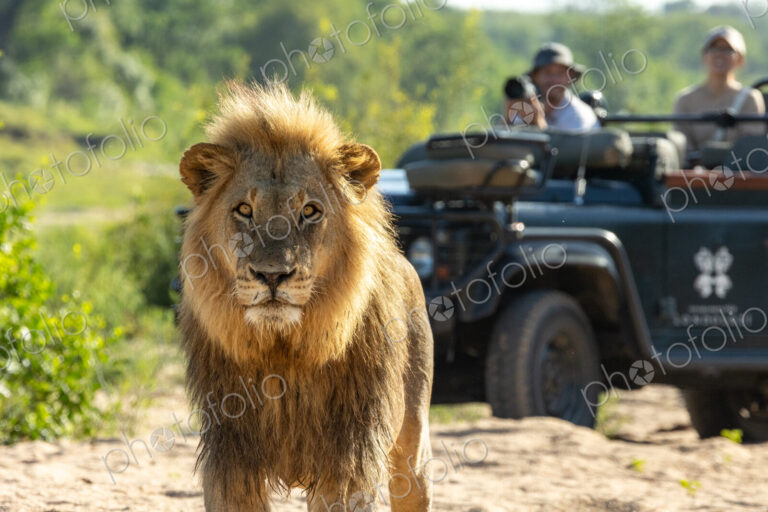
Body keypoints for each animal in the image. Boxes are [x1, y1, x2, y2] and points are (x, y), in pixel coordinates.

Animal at [177, 82, 434, 512]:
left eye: (310, 211)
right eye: (244, 210)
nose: (272, 275)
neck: (284, 352)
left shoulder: (348, 458)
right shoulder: (230, 457)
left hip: (412, 442)